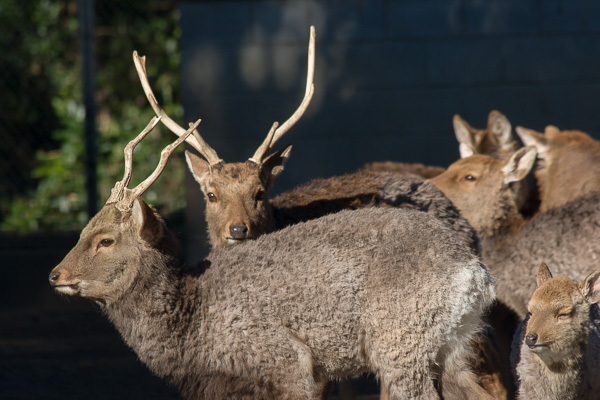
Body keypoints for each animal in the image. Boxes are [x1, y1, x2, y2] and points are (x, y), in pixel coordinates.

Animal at [48, 114, 496, 398]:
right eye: (85, 228)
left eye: (105, 240)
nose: (55, 275)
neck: (195, 322)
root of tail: (476, 274)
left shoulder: (288, 361)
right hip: (451, 346)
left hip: (401, 344)